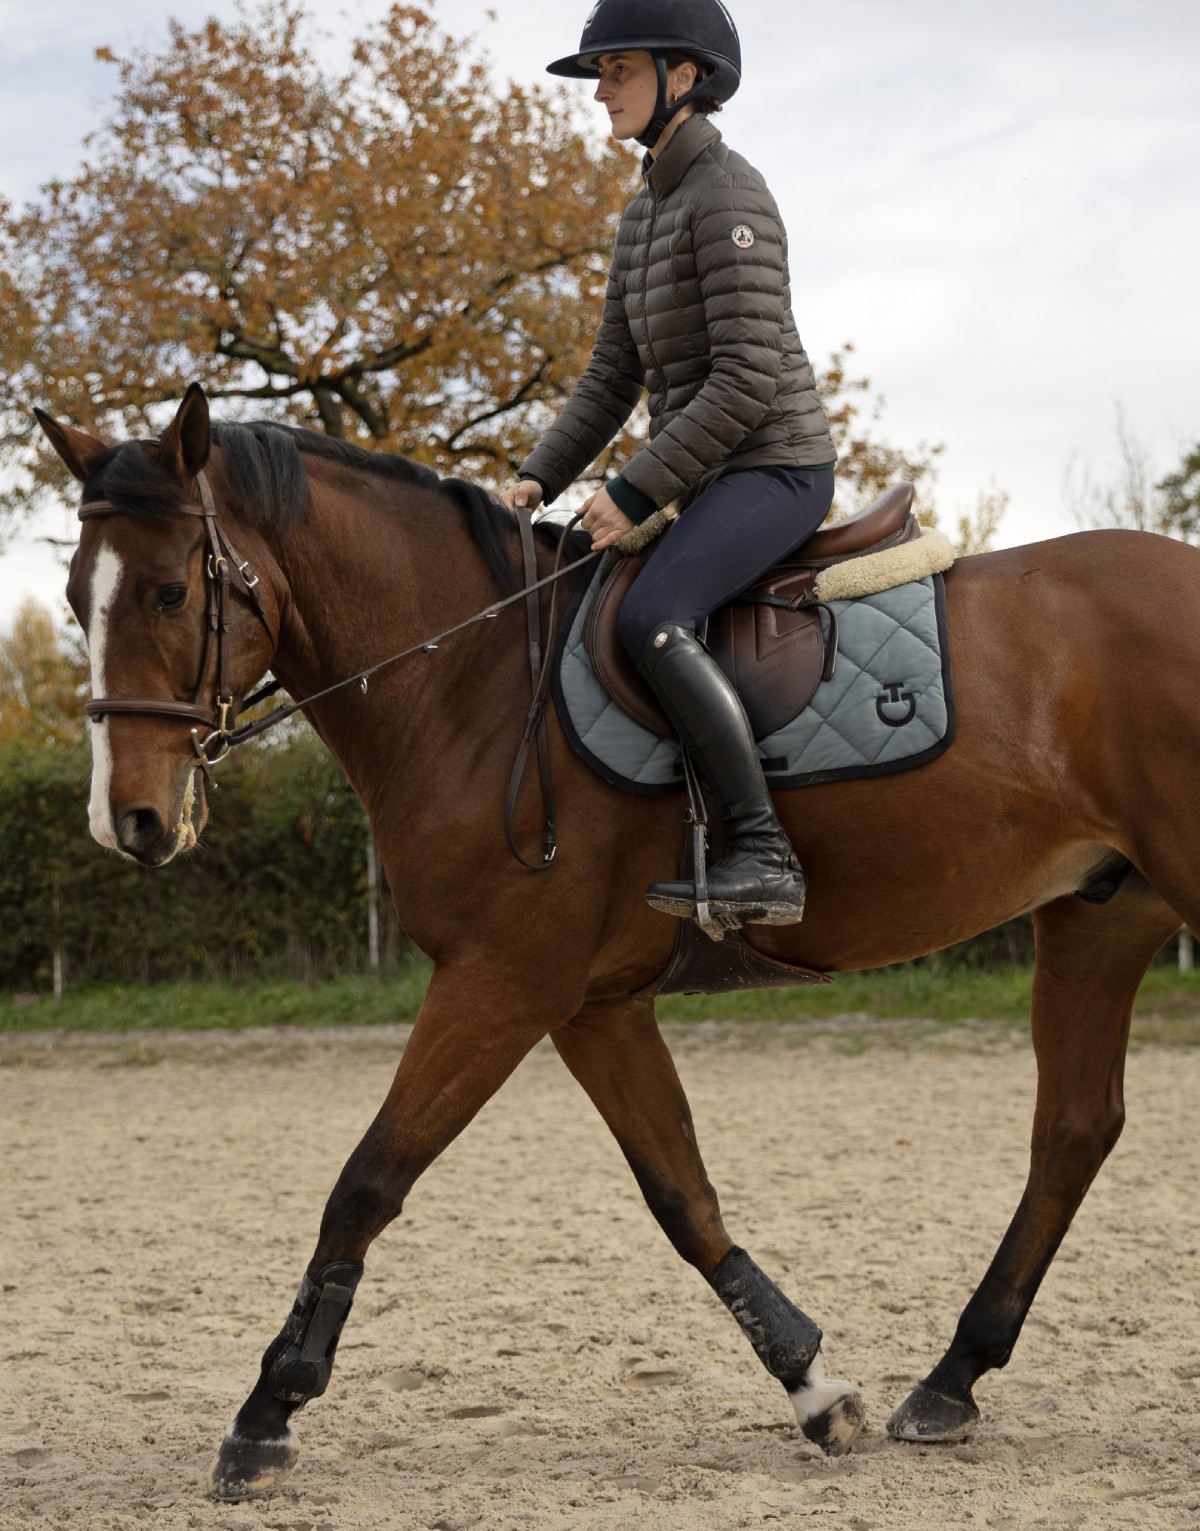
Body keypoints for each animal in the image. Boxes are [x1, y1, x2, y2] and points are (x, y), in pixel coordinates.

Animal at [35, 385, 1199, 1501]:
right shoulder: (590, 1004)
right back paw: (951, 1380)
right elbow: (682, 1192)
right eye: (76, 597)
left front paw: (266, 1414)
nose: (126, 820)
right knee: (1073, 1130)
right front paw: (814, 1388)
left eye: (170, 593)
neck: (472, 680)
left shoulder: (500, 981)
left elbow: (368, 1181)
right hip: (1100, 914)